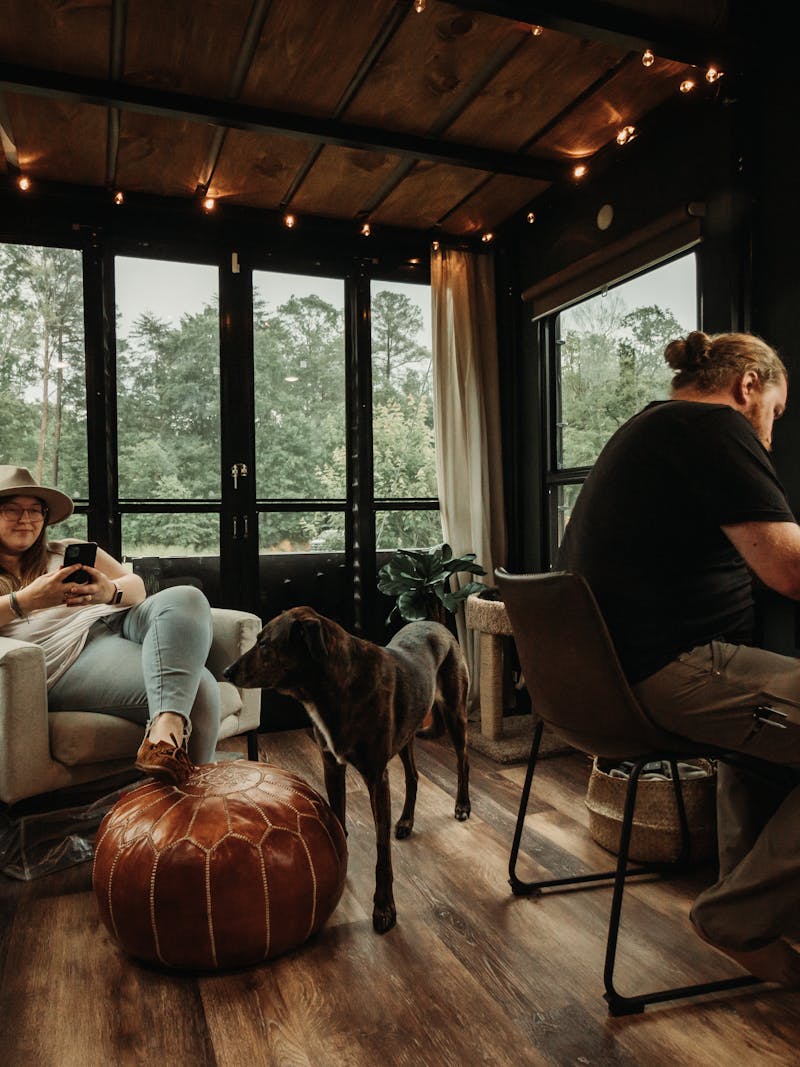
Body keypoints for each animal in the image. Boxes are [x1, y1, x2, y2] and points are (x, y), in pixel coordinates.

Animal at [222, 610, 473, 934]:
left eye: (264, 644)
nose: (226, 671)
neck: (334, 686)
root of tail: (437, 624)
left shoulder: (376, 777)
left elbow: (382, 852)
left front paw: (384, 908)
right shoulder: (332, 766)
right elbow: (339, 820)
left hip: (455, 712)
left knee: (462, 760)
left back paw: (462, 805)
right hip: (406, 732)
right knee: (414, 776)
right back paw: (406, 821)